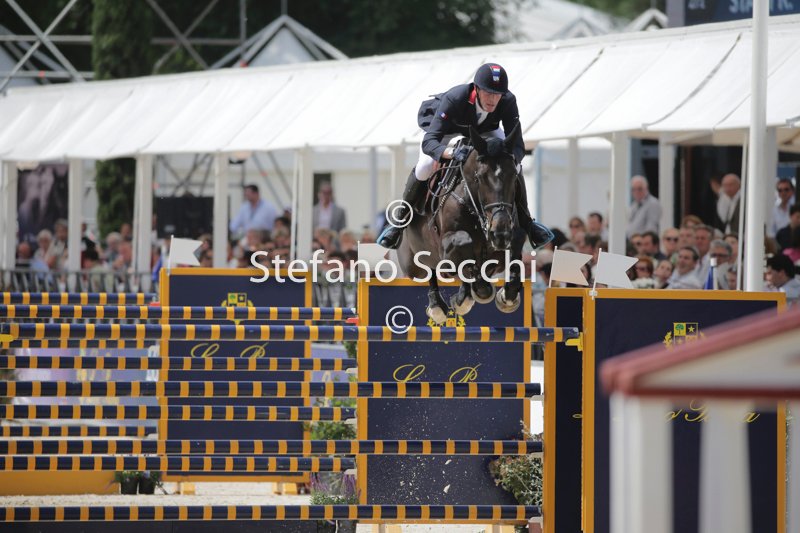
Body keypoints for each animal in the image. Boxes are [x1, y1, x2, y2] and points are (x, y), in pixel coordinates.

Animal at [397, 124, 526, 324]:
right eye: (479, 177)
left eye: (514, 177)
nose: (499, 234)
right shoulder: (447, 246)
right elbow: (464, 245)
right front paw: (479, 291)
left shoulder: (510, 237)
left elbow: (514, 249)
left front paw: (506, 297)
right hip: (413, 265)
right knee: (430, 271)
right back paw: (439, 306)